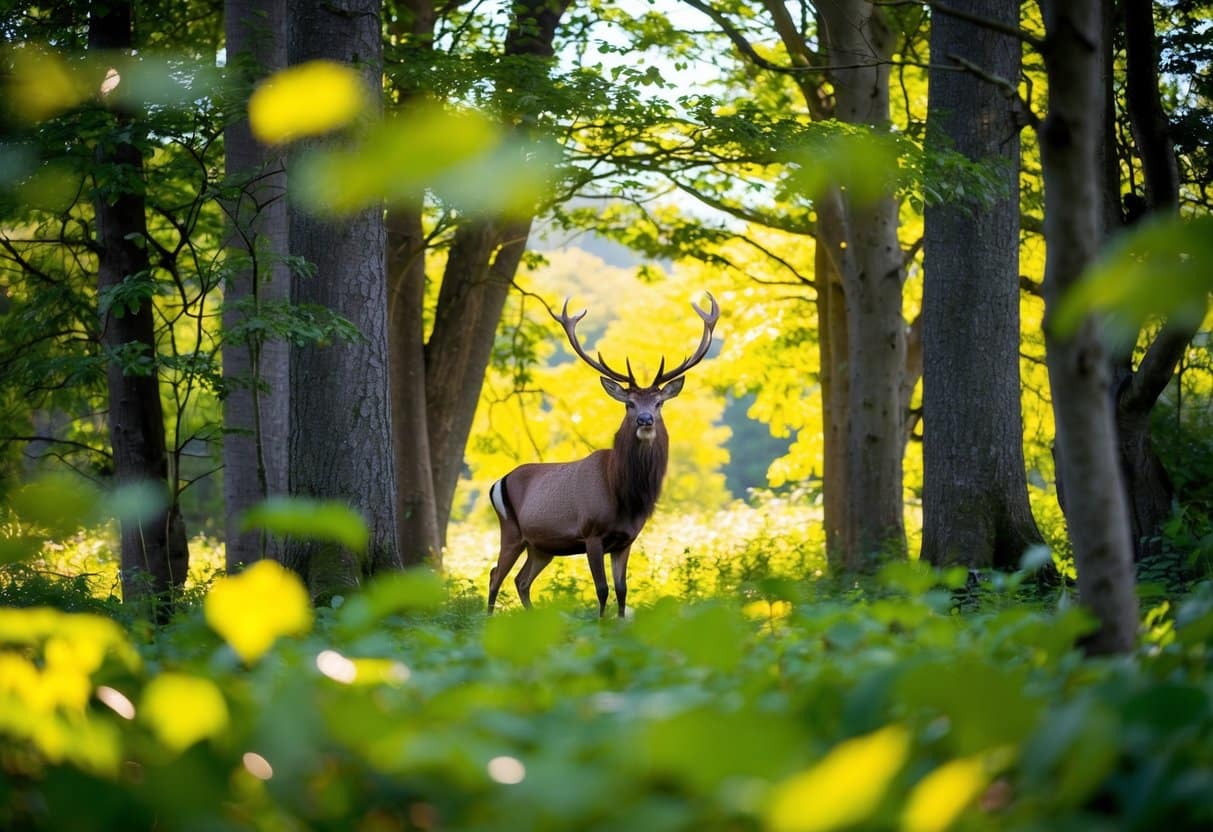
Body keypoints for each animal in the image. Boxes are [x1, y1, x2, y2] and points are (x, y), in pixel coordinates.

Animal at [487, 293, 720, 618]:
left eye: (659, 402)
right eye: (629, 404)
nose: (645, 420)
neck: (624, 496)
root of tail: (499, 481)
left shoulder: (626, 540)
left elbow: (622, 590)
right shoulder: (592, 533)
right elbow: (602, 590)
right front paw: (600, 624)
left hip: (541, 545)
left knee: (521, 580)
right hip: (510, 529)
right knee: (495, 574)